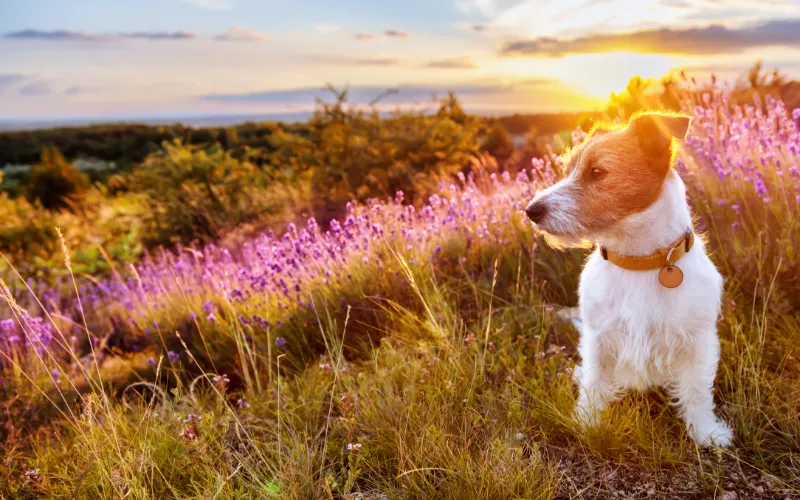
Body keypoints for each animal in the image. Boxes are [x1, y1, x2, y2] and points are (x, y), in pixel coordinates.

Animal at [528, 111, 736, 448]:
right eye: (567, 170)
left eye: (597, 171)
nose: (530, 210)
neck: (638, 261)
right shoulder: (599, 338)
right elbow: (595, 382)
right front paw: (587, 423)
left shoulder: (698, 340)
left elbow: (696, 390)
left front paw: (705, 432)